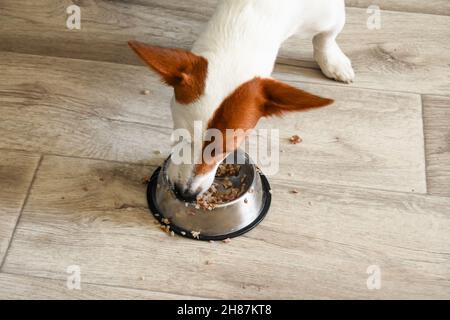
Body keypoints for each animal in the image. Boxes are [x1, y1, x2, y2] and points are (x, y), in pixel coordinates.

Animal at [128, 0, 354, 200]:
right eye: (180, 136)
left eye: (226, 150)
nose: (185, 194)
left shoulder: (331, 14)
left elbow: (325, 37)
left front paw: (332, 60)